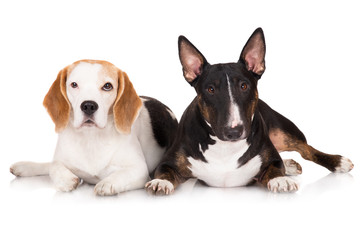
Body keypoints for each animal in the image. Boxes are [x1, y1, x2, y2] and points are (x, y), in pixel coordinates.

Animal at [10, 59, 179, 195]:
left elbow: (119, 175)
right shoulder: (61, 158)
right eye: (74, 84)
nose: (89, 106)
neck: (91, 137)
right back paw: (24, 166)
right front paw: (66, 179)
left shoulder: (139, 170)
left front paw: (107, 183)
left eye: (107, 86)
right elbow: (54, 166)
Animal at [146, 27, 354, 195]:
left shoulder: (271, 158)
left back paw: (337, 162)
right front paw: (160, 182)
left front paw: (280, 179)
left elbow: (275, 166)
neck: (224, 148)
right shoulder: (167, 162)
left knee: (306, 149)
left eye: (244, 86)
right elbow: (164, 171)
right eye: (210, 89)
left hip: (282, 130)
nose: (234, 131)